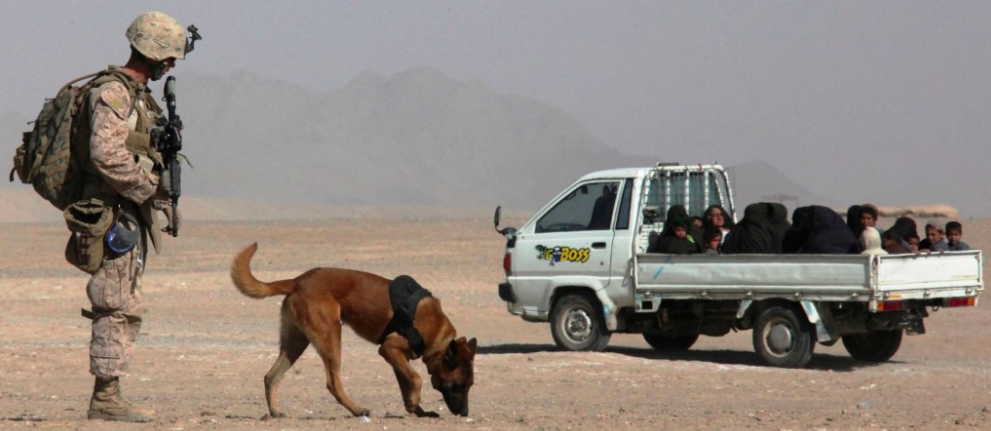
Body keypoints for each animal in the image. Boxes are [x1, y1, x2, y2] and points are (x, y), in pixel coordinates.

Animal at [232, 243, 480, 418]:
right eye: (457, 386)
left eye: (470, 386)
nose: (465, 413)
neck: (438, 335)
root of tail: (297, 280)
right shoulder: (388, 348)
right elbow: (416, 378)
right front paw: (415, 402)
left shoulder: (396, 358)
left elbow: (406, 384)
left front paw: (416, 409)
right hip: (331, 337)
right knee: (332, 382)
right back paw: (358, 410)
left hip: (296, 341)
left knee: (271, 377)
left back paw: (274, 412)